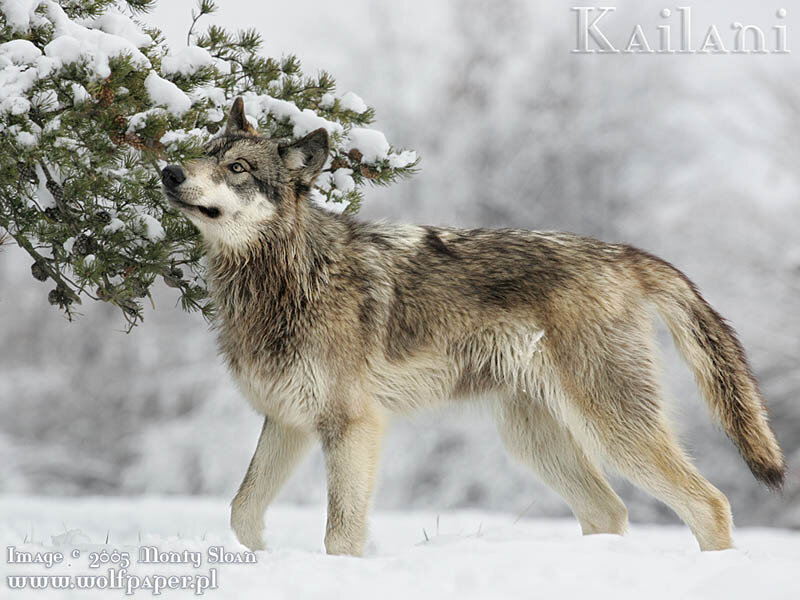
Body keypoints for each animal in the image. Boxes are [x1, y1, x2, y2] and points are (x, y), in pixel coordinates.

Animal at [161, 98, 785, 556]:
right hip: (533, 440)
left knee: (709, 504)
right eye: (203, 152)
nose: (168, 170)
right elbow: (242, 510)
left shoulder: (353, 426)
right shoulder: (287, 420)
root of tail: (623, 254)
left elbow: (340, 534)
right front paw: (259, 560)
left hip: (613, 430)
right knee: (610, 510)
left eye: (237, 168)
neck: (288, 278)